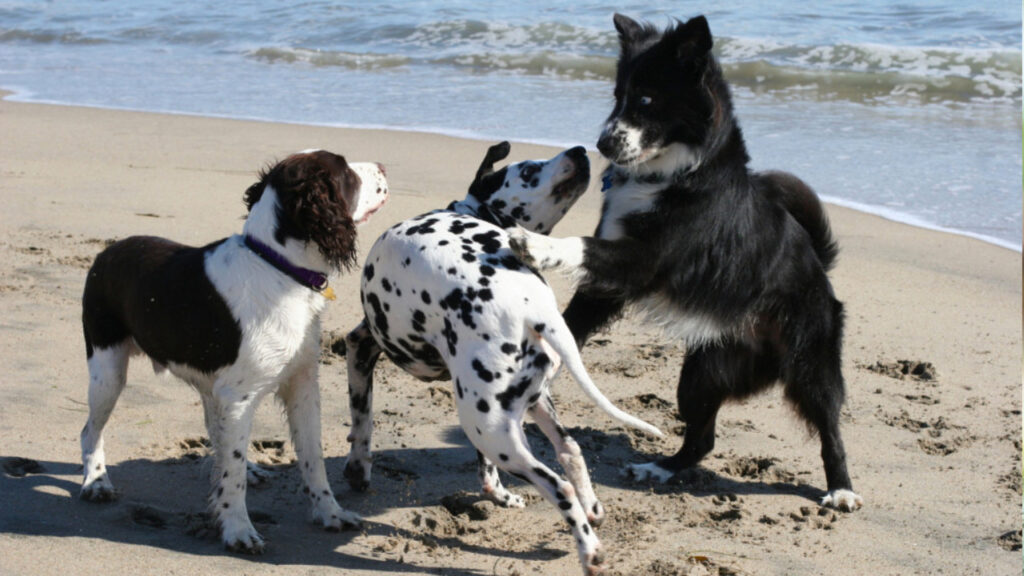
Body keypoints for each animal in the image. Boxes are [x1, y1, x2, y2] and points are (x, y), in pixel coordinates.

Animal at [79, 148, 387, 553]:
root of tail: (106, 252)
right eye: (347, 172)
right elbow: (233, 472)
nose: (384, 166)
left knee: (217, 432)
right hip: (107, 369)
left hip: (208, 383)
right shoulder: (239, 396)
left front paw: (330, 514)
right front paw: (238, 530)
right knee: (90, 431)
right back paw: (96, 481)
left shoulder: (301, 384)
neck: (278, 269)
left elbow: (312, 457)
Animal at [507, 12, 860, 506]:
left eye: (647, 99)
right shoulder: (608, 284)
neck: (672, 174)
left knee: (829, 427)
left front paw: (535, 244)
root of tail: (820, 269)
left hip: (810, 363)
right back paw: (658, 468)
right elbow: (575, 319)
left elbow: (581, 246)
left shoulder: (643, 261)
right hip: (702, 373)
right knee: (702, 439)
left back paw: (841, 489)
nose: (603, 144)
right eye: (618, 96)